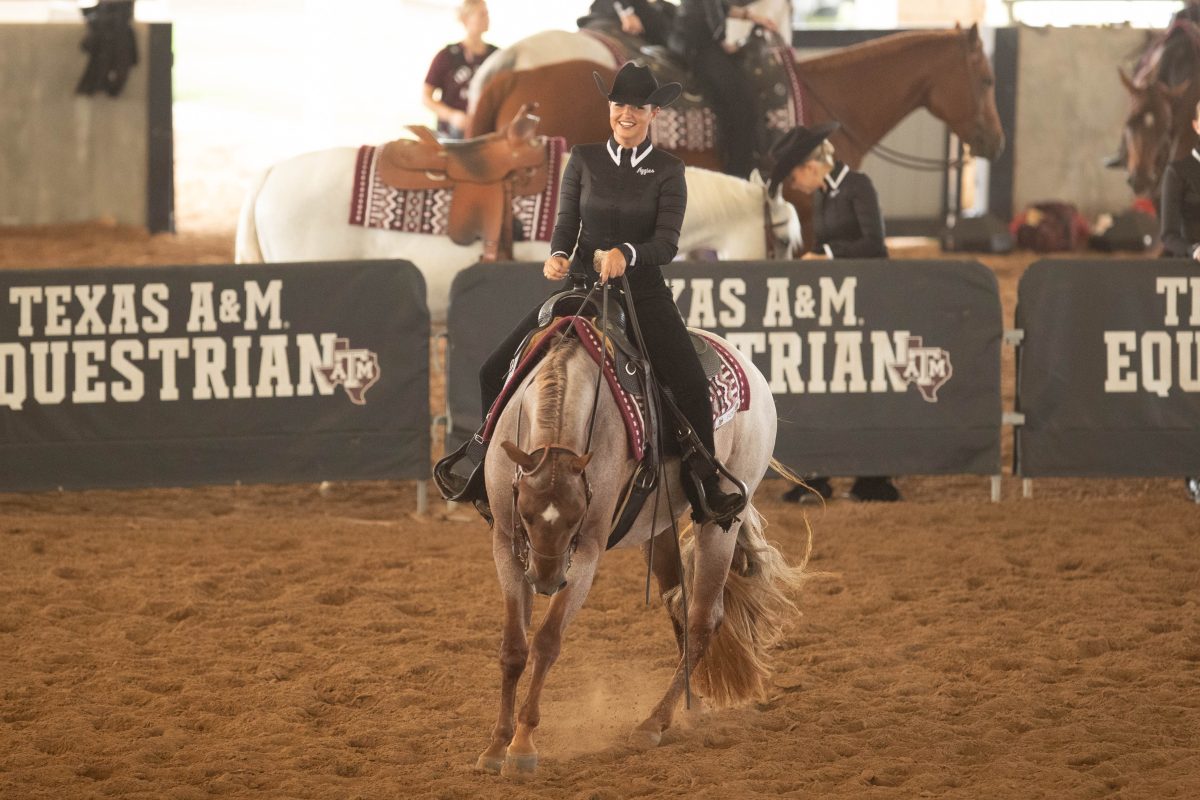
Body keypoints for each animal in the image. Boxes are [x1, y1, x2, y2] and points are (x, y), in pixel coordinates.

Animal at [477, 321, 806, 777]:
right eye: (525, 514)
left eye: (577, 518)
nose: (545, 581)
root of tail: (748, 366)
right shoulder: (507, 545)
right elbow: (513, 647)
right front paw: (496, 746)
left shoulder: (588, 549)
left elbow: (546, 641)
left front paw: (523, 744)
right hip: (658, 529)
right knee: (678, 605)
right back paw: (690, 705)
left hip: (722, 523)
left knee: (703, 619)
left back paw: (655, 722)